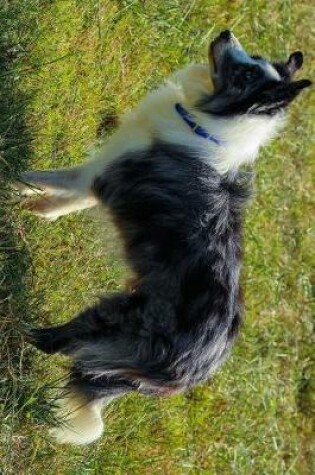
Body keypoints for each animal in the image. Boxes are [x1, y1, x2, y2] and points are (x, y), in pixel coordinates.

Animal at [17, 31, 312, 444]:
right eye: (252, 60)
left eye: (246, 73)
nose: (225, 33)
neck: (206, 121)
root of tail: (200, 367)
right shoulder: (96, 179)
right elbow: (60, 204)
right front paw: (36, 208)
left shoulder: (95, 173)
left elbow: (42, 177)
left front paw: (15, 180)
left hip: (115, 319)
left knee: (56, 343)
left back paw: (21, 331)